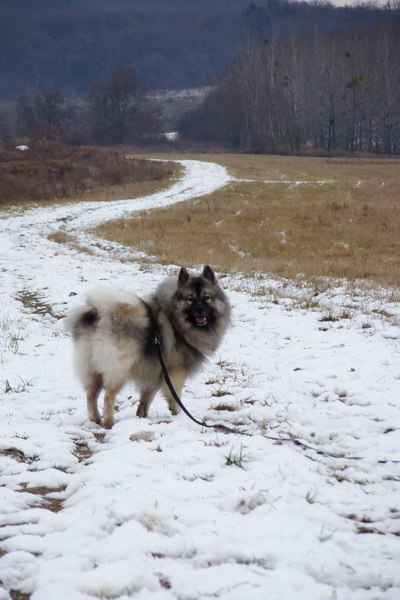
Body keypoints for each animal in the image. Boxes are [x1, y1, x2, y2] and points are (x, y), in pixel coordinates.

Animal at [66, 266, 231, 426]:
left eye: (207, 298)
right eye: (190, 299)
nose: (199, 310)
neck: (176, 321)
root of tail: (100, 315)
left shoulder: (155, 372)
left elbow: (147, 398)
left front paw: (141, 415)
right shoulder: (176, 371)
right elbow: (175, 395)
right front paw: (177, 413)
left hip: (94, 370)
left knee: (90, 395)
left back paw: (96, 419)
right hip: (118, 370)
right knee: (108, 396)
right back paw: (109, 422)